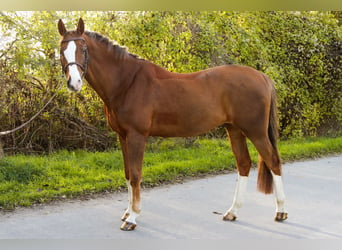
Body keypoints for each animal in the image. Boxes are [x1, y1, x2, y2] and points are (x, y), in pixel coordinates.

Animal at [57, 18, 288, 231]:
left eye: (83, 49)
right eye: (61, 51)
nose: (74, 83)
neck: (127, 82)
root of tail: (263, 77)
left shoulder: (137, 135)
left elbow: (136, 175)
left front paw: (132, 218)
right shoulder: (122, 135)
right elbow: (127, 173)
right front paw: (127, 212)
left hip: (256, 131)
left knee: (273, 161)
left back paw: (281, 212)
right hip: (235, 130)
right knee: (244, 164)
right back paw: (232, 212)